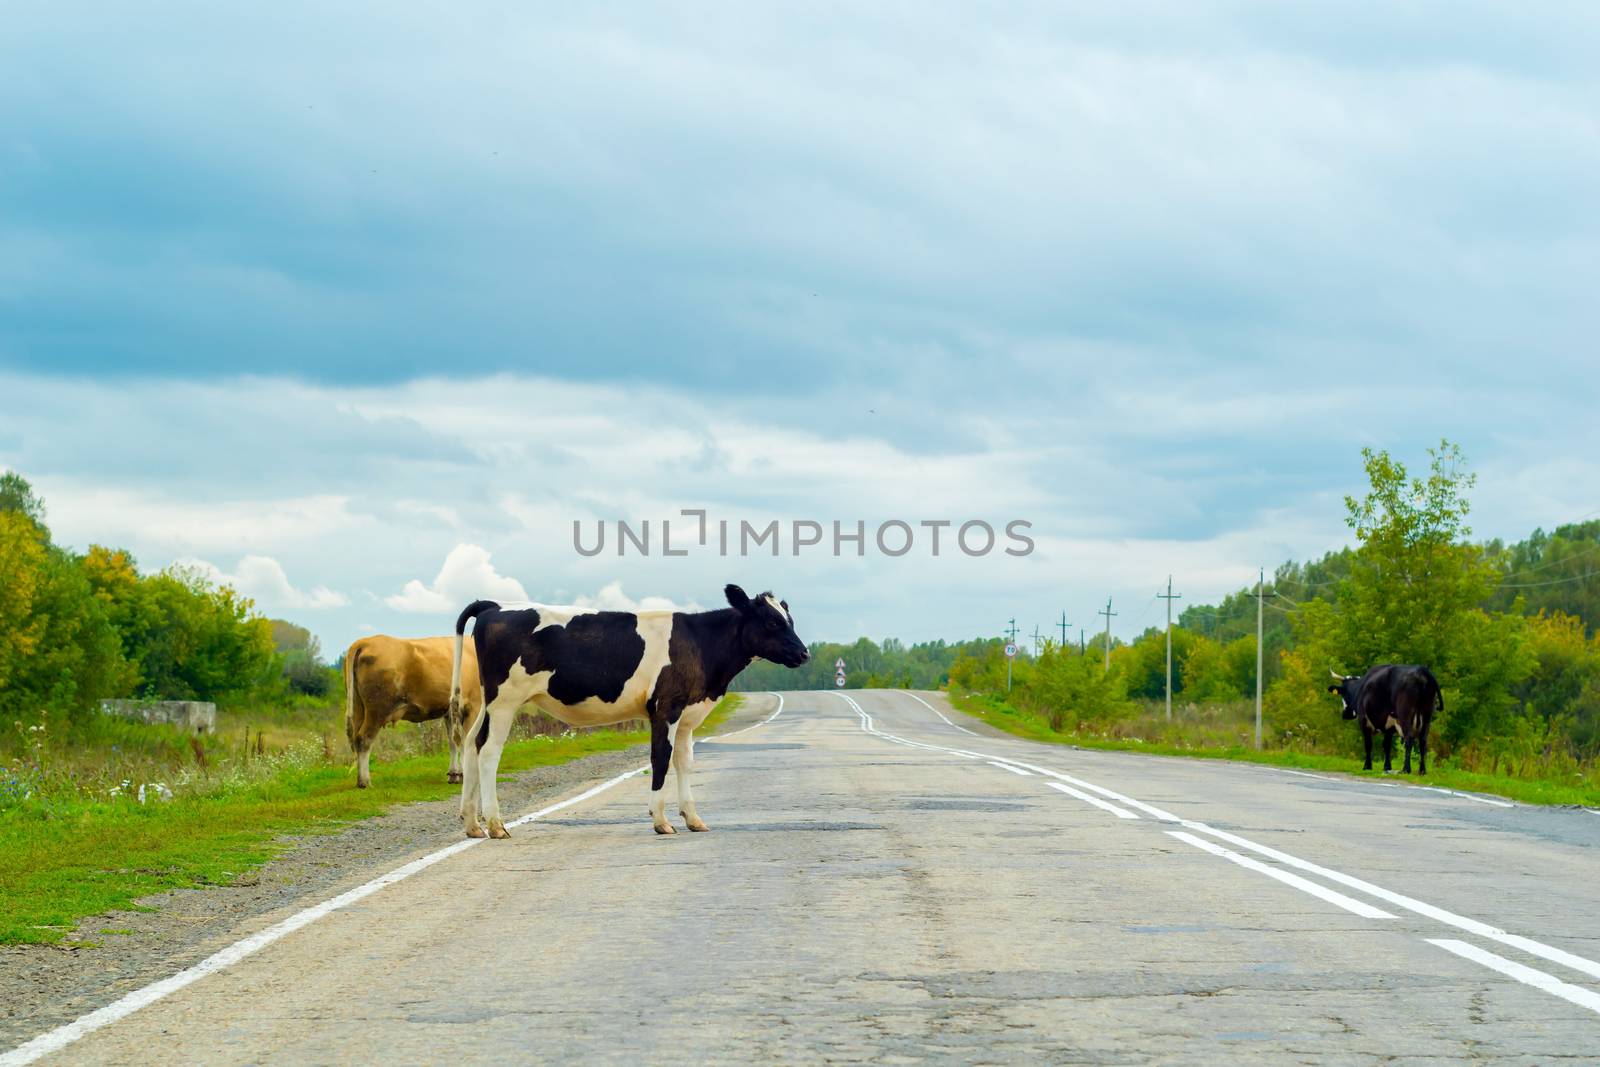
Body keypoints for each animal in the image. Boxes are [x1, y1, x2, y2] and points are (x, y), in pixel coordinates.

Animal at [344, 639, 480, 790]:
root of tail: (364, 642)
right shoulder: (473, 705)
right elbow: (466, 740)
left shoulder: (449, 712)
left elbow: (453, 741)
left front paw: (455, 774)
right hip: (377, 710)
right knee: (364, 739)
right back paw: (365, 781)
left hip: (358, 708)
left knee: (356, 738)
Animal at [448, 585, 806, 844]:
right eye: (771, 622)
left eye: (790, 620)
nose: (804, 653)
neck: (700, 643)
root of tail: (495, 605)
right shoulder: (666, 707)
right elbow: (661, 759)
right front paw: (661, 821)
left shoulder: (687, 714)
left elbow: (684, 762)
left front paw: (693, 819)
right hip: (505, 701)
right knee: (489, 752)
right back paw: (496, 825)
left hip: (489, 702)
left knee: (471, 744)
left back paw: (473, 824)